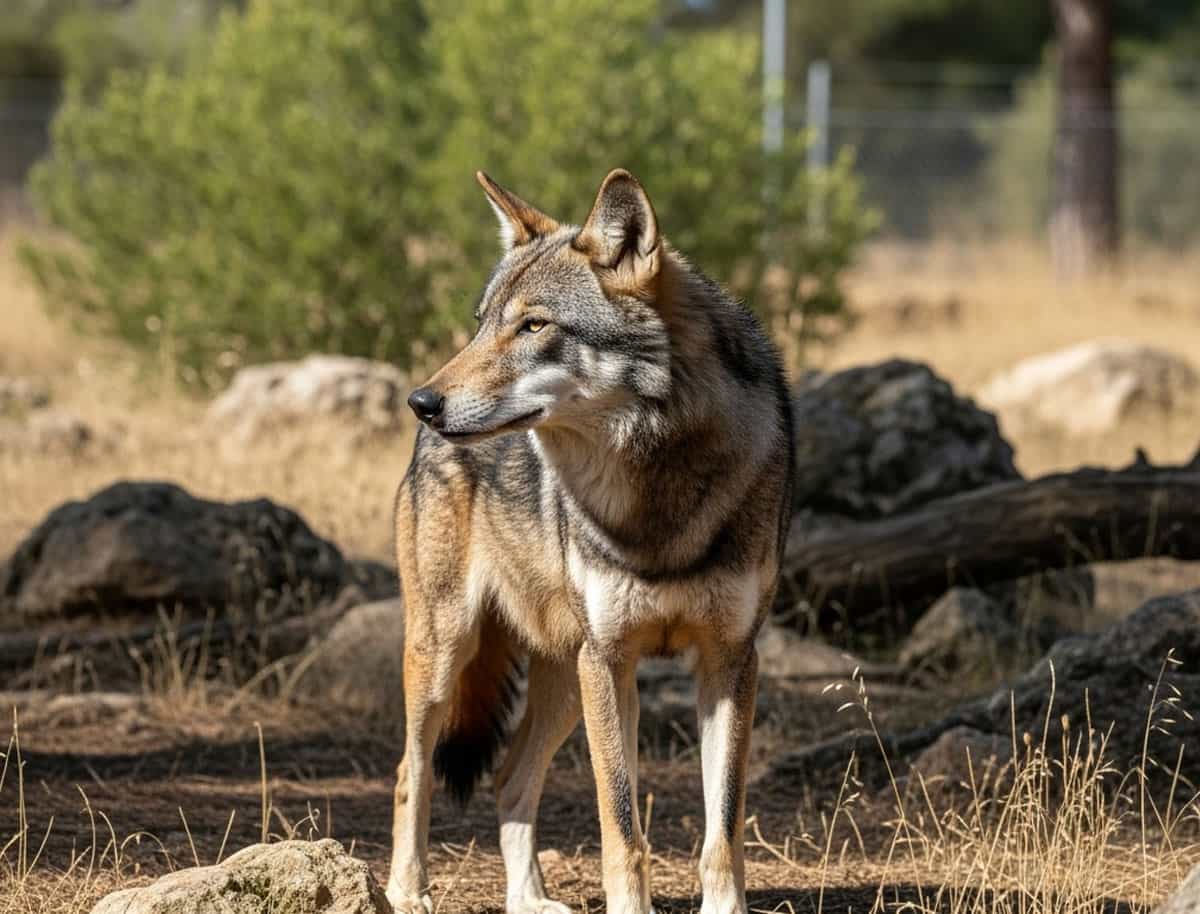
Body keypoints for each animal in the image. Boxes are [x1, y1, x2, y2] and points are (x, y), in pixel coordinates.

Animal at [386, 169, 794, 914]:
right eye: (483, 322)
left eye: (533, 325)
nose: (421, 402)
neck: (655, 492)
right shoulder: (611, 659)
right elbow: (622, 828)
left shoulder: (729, 661)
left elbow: (722, 828)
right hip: (450, 651)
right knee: (412, 770)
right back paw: (409, 892)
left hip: (564, 677)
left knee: (509, 778)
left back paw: (529, 900)